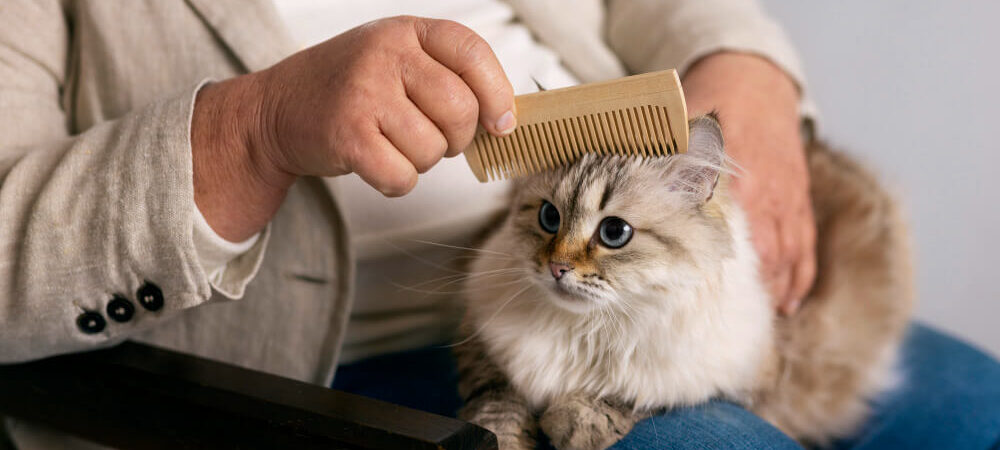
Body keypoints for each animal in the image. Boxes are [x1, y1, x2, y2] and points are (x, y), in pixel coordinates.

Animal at [454, 114, 916, 448]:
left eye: (614, 232)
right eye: (549, 217)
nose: (556, 268)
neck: (586, 327)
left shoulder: (738, 378)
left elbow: (632, 397)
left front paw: (574, 423)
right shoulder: (485, 347)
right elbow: (497, 411)